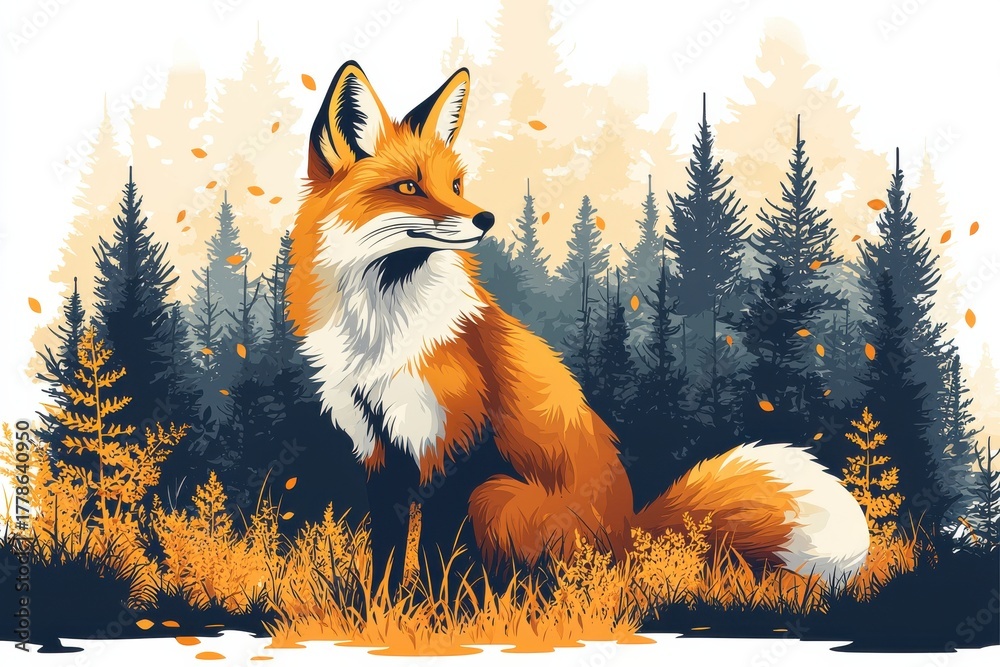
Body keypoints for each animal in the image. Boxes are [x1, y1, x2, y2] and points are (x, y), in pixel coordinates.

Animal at [286, 61, 870, 586]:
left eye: (455, 184)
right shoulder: (379, 452)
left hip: (494, 494)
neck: (382, 330)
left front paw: (431, 617)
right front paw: (377, 613)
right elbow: (386, 554)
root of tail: (627, 537)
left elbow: (434, 557)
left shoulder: (454, 449)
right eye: (408, 187)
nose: (485, 219)